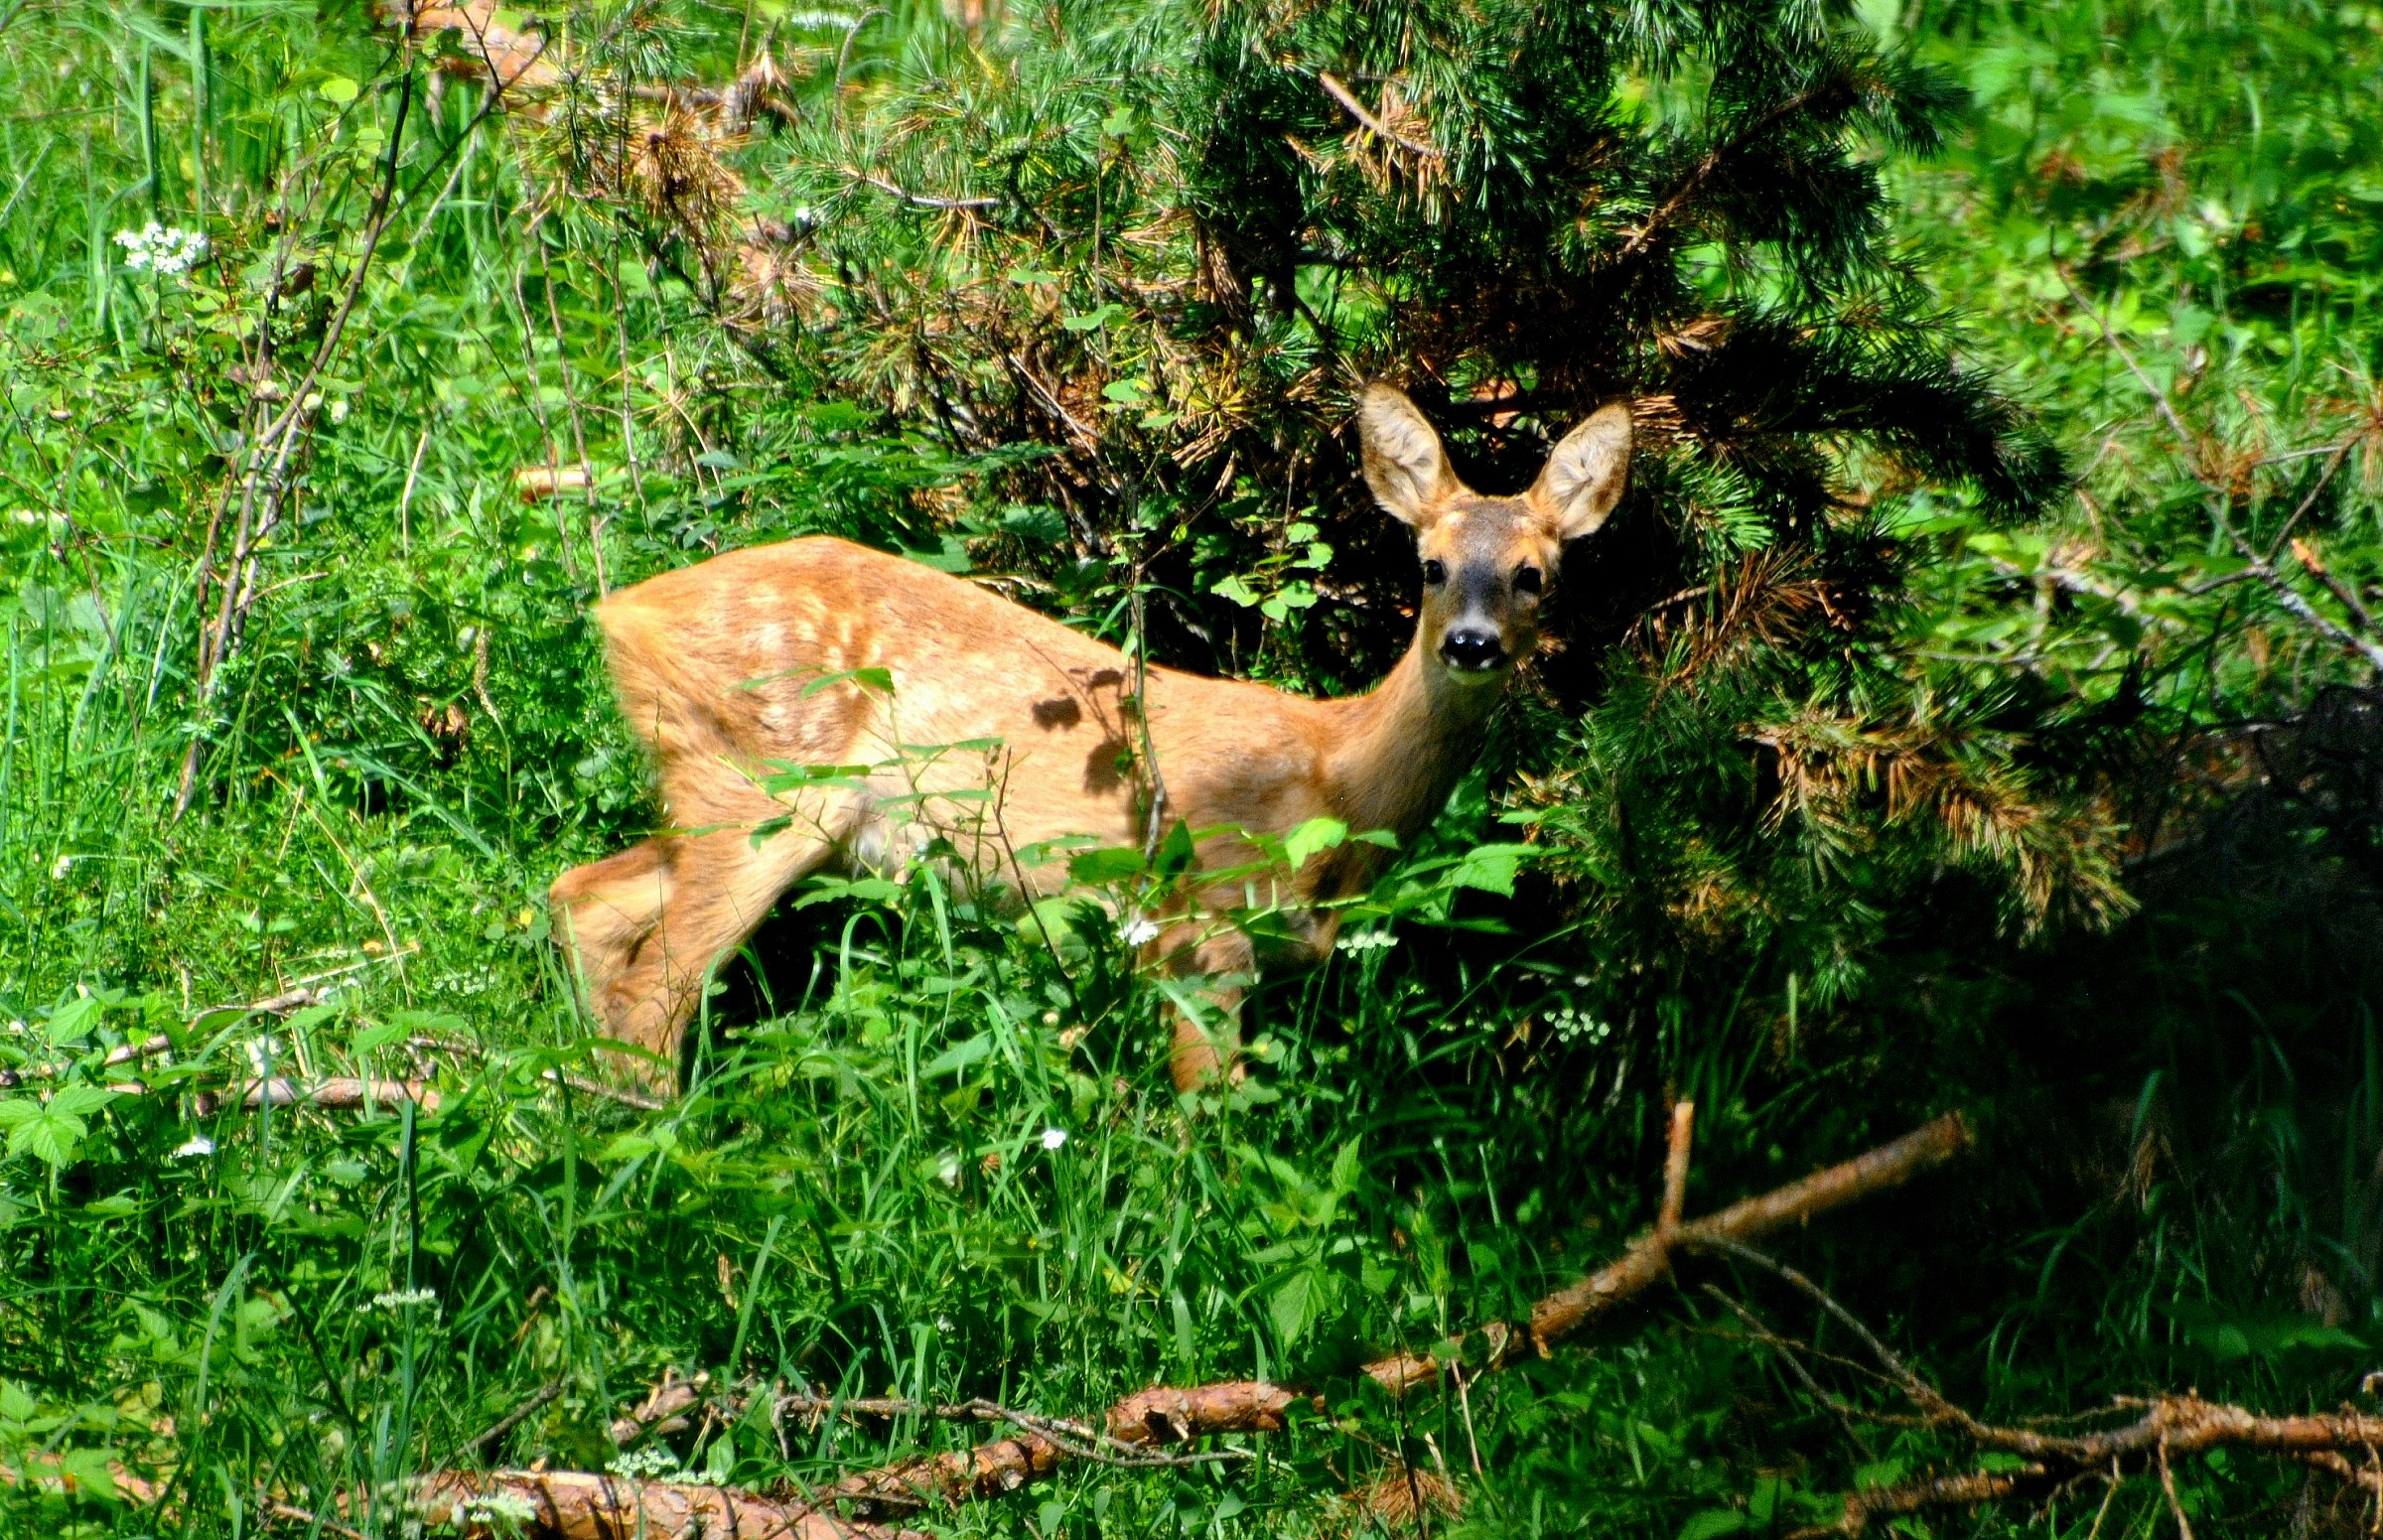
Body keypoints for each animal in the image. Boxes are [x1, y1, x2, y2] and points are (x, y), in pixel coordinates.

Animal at [550, 384, 1632, 1092]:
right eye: (1431, 564)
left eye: (1534, 576)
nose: (1471, 643)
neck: (1334, 780)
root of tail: (622, 613)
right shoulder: (1202, 928)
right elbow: (1205, 1120)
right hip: (768, 778)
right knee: (657, 984)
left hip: (734, 791)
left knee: (585, 896)